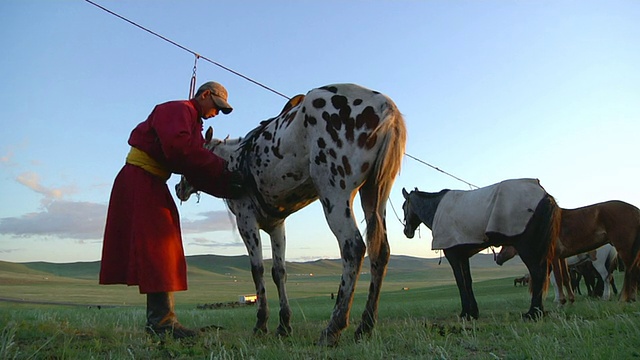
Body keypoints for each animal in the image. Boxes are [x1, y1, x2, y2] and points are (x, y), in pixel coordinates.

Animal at [175, 83, 404, 344]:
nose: (178, 188)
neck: (234, 163)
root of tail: (386, 108)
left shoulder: (246, 220)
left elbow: (257, 270)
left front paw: (261, 324)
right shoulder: (276, 226)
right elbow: (279, 272)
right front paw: (284, 325)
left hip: (334, 193)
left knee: (353, 248)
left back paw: (333, 328)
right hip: (375, 194)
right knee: (380, 251)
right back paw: (365, 326)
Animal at [404, 179, 560, 320]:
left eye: (403, 206)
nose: (407, 232)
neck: (436, 208)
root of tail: (544, 195)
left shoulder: (453, 254)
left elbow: (460, 282)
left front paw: (465, 313)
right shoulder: (463, 256)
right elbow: (468, 281)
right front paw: (473, 312)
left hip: (527, 248)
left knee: (538, 273)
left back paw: (533, 313)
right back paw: (538, 311)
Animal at [498, 200, 636, 304]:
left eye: (506, 246)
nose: (498, 259)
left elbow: (556, 281)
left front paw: (558, 300)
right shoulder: (561, 260)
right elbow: (565, 279)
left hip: (599, 262)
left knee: (607, 277)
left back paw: (607, 296)